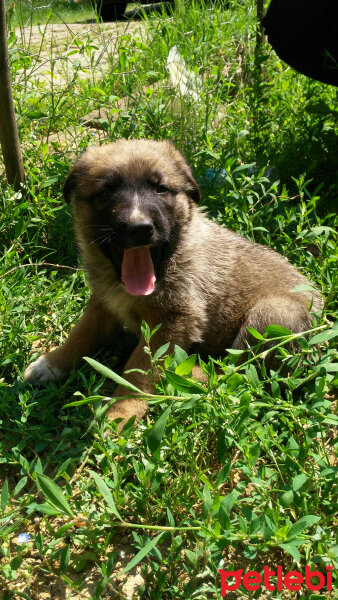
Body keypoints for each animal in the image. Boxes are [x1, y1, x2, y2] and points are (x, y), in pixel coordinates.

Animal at [23, 138, 322, 424]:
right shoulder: (103, 301)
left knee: (241, 375)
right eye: (105, 192)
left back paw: (190, 372)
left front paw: (120, 413)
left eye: (161, 189)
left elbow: (139, 370)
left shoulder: (175, 320)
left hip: (274, 315)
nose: (139, 228)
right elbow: (82, 332)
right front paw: (52, 363)